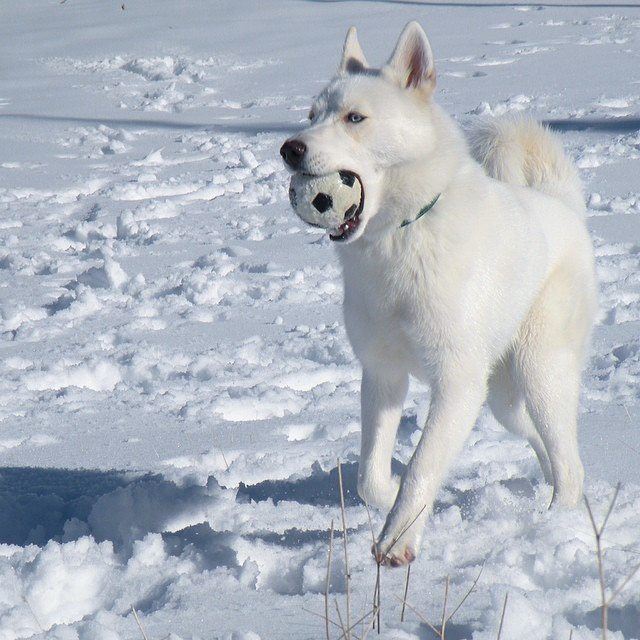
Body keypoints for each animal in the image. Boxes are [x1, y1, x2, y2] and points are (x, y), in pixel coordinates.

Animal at [280, 22, 596, 568]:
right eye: (311, 114)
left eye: (355, 117)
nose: (289, 149)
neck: (400, 236)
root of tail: (562, 206)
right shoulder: (382, 376)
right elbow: (368, 477)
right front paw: (388, 500)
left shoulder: (456, 384)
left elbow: (423, 465)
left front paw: (397, 541)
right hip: (503, 398)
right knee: (546, 446)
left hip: (540, 373)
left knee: (569, 462)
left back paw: (555, 522)